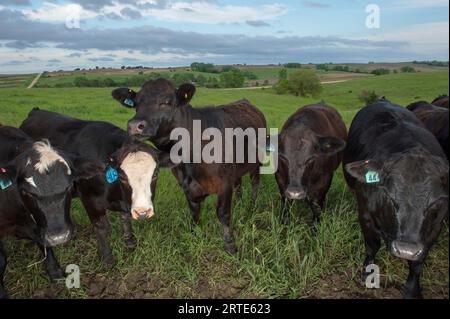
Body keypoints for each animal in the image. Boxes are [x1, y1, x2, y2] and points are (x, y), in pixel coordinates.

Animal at [20, 110, 174, 268]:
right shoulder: (90, 199)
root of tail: (36, 111)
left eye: (155, 174)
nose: (143, 212)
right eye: (122, 176)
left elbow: (125, 217)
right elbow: (102, 226)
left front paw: (129, 241)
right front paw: (107, 258)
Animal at [112, 78, 268, 255]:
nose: (134, 125)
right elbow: (194, 213)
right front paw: (195, 234)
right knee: (239, 184)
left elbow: (223, 213)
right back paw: (239, 202)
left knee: (255, 182)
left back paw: (252, 205)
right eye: (136, 104)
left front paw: (230, 245)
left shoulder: (224, 183)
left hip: (257, 162)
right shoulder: (187, 186)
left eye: (167, 102)